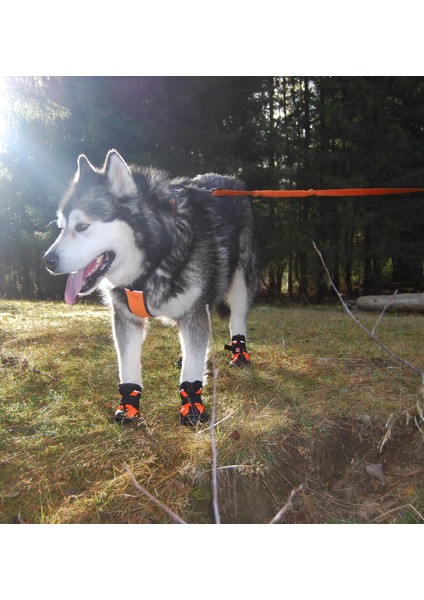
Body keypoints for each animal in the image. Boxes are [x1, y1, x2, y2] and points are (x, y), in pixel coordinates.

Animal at [43, 150, 256, 426]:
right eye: (62, 227)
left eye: (82, 226)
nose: (47, 261)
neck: (153, 261)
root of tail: (229, 179)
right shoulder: (126, 318)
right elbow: (128, 366)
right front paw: (129, 405)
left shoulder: (193, 312)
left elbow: (191, 371)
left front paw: (191, 405)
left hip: (240, 281)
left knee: (236, 319)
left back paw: (239, 354)